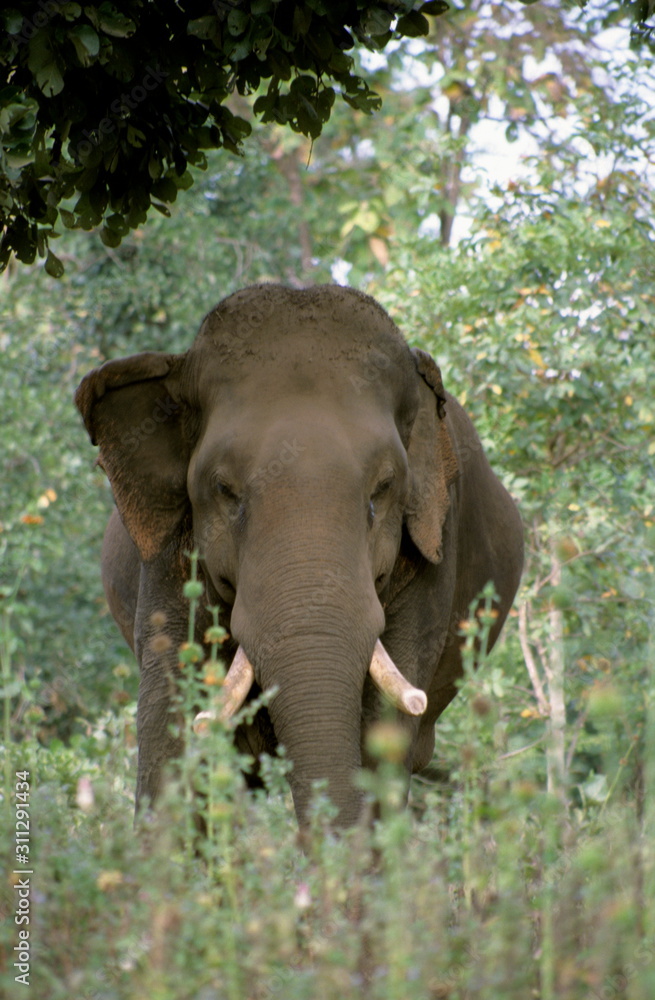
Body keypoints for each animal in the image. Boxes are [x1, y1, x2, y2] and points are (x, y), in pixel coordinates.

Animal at [75, 283, 523, 829]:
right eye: (225, 491)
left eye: (382, 490)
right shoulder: (167, 555)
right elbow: (167, 717)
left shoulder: (433, 548)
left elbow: (382, 728)